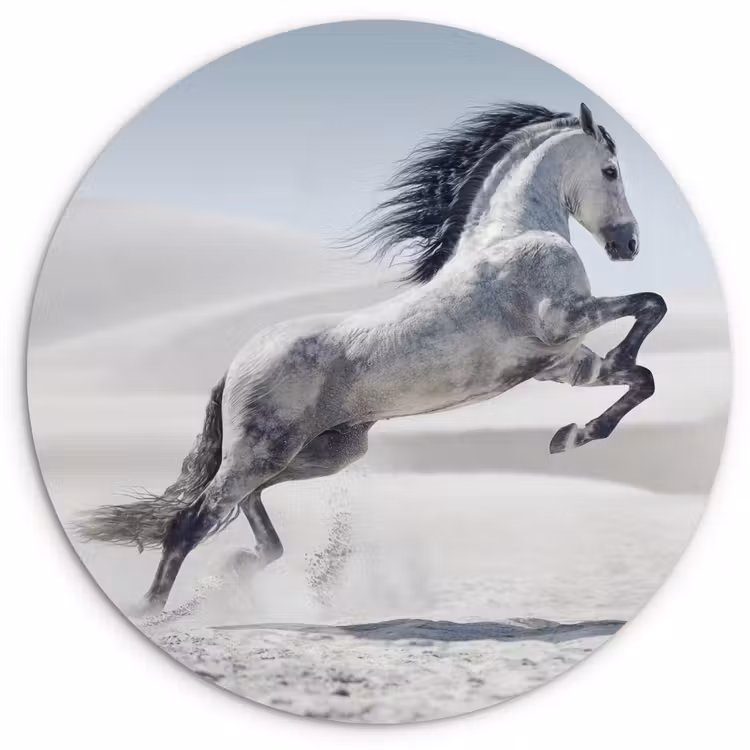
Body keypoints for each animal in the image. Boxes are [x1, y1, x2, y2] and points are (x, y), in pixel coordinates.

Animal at [76, 102, 667, 612]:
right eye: (611, 170)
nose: (630, 245)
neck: (515, 235)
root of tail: (239, 361)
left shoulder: (564, 365)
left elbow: (641, 378)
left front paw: (571, 436)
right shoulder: (562, 320)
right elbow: (650, 305)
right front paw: (585, 414)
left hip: (322, 453)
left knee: (246, 507)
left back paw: (242, 566)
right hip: (263, 452)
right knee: (193, 520)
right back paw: (154, 609)